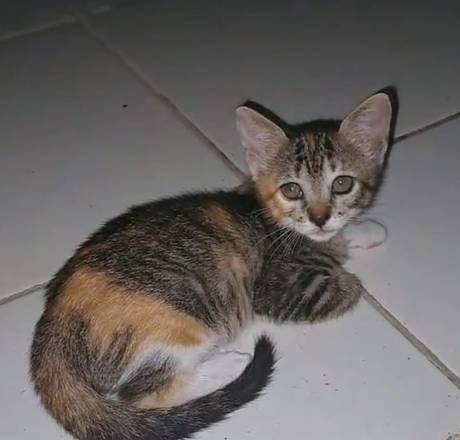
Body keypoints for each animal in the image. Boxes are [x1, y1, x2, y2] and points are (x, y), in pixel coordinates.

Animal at [30, 91, 393, 440]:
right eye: (292, 190)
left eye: (342, 184)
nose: (320, 219)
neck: (275, 217)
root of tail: (52, 325)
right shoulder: (277, 290)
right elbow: (347, 288)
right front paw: (347, 269)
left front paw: (364, 230)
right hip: (176, 322)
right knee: (143, 392)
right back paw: (231, 363)